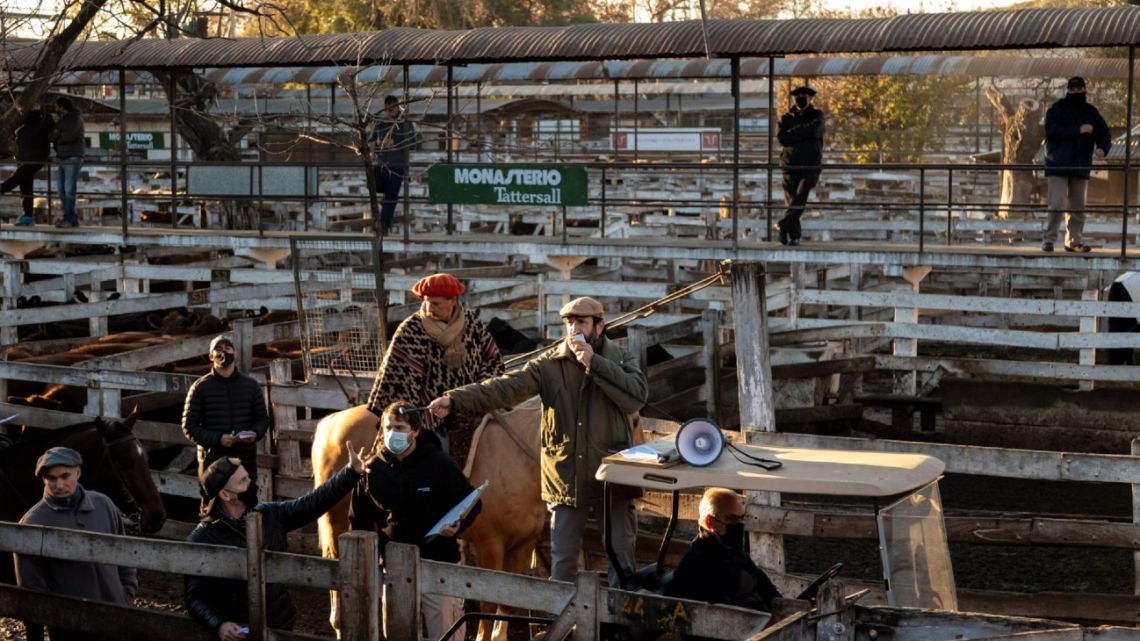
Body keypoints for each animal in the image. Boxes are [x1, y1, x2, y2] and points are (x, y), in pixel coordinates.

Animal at [310, 396, 544, 634]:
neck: (514, 463)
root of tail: (331, 421)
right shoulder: (490, 544)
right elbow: (488, 606)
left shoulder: (524, 545)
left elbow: (507, 605)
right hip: (336, 526)